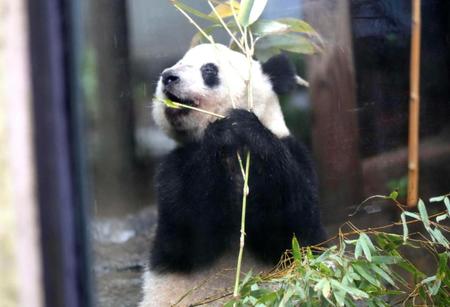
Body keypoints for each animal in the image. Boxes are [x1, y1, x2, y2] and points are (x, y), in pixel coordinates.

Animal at [139, 44, 326, 307]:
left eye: (209, 69)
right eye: (178, 63)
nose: (169, 77)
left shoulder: (295, 153)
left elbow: (297, 228)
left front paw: (242, 125)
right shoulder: (173, 167)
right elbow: (186, 229)